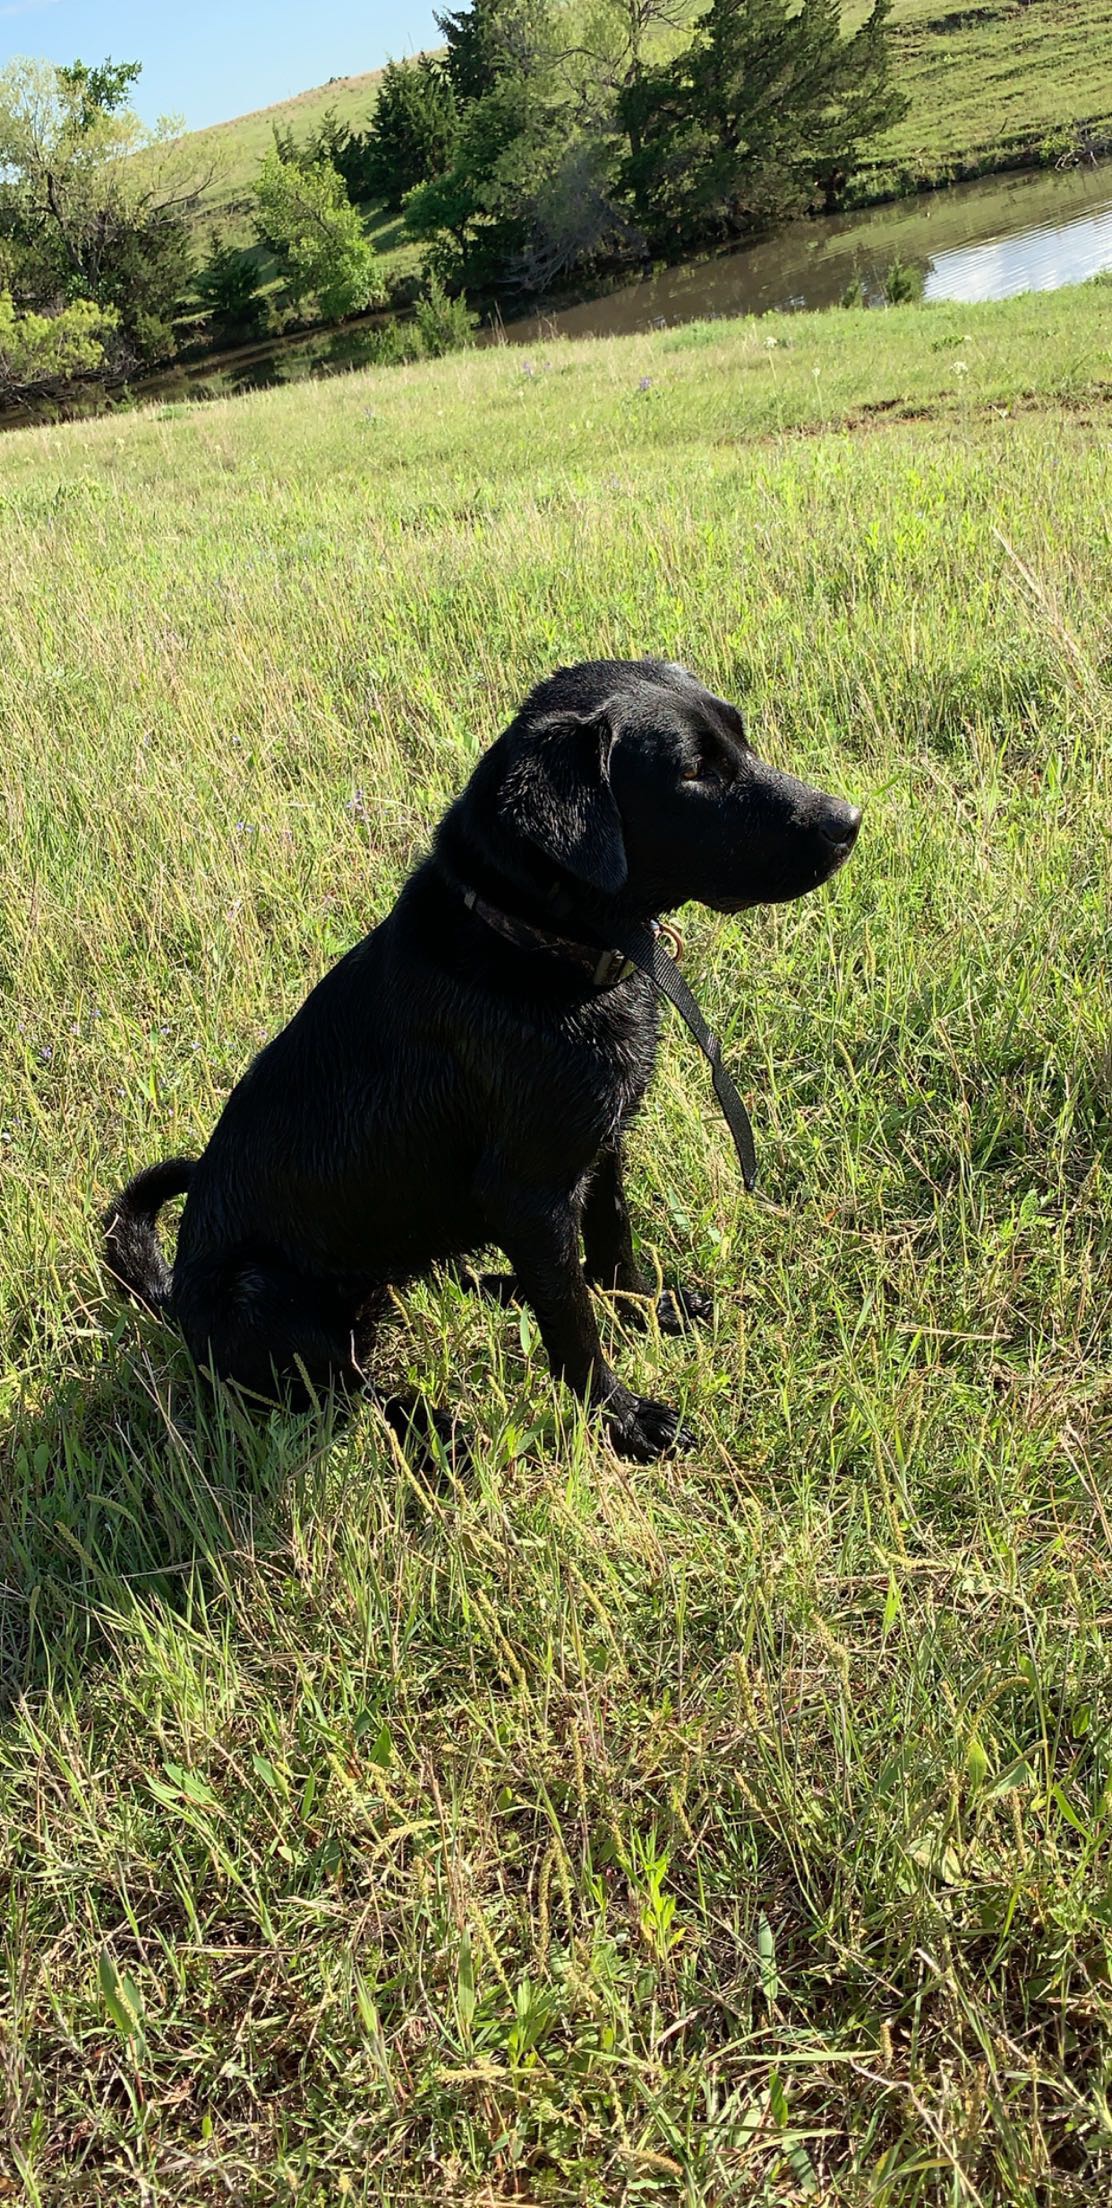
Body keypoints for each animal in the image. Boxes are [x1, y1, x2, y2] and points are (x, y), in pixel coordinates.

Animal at [106, 657, 860, 1448]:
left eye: (740, 736)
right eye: (692, 773)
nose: (848, 822)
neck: (535, 944)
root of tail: (172, 1299)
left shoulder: (599, 1150)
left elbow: (611, 1249)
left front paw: (645, 1312)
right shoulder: (529, 1195)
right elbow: (574, 1330)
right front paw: (624, 1420)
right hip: (261, 1293)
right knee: (356, 1389)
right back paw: (443, 1434)